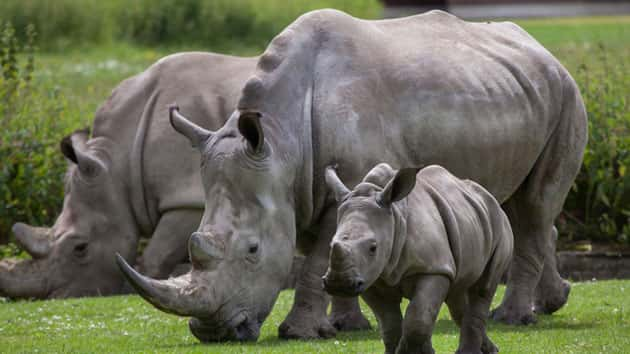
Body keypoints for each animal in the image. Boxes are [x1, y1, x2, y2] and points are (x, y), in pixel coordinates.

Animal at [326, 164, 512, 354]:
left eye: (373, 248)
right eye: (331, 245)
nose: (338, 284)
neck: (395, 217)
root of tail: (491, 198)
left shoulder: (435, 268)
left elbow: (418, 319)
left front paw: (405, 350)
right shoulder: (371, 277)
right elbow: (390, 323)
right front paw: (400, 349)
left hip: (500, 223)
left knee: (483, 288)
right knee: (458, 294)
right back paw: (491, 349)